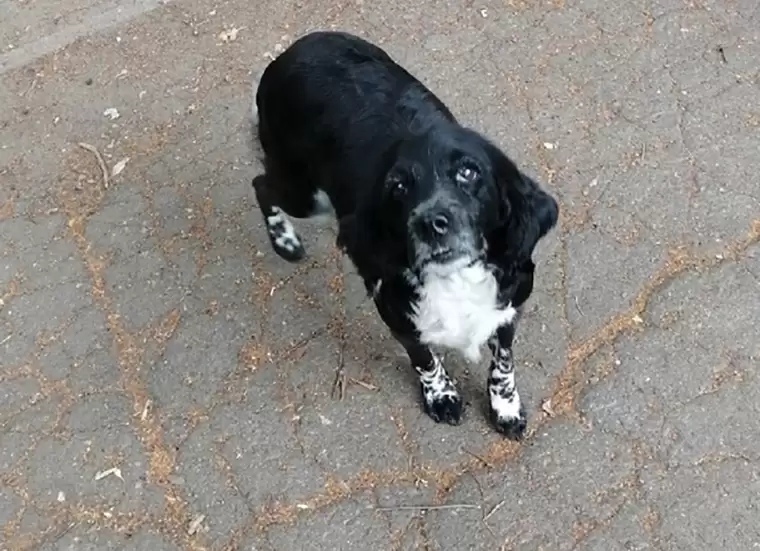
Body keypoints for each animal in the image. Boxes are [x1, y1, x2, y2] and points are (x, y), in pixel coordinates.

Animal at [252, 32, 556, 442]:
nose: (430, 222)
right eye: (397, 186)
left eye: (469, 171)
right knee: (261, 184)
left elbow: (503, 364)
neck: (456, 280)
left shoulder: (509, 305)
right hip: (305, 192)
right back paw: (283, 240)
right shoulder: (396, 313)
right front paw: (441, 396)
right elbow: (424, 358)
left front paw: (505, 408)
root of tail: (290, 50)